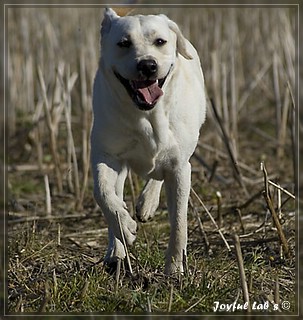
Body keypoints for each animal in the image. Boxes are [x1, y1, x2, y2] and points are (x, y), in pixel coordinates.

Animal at [91, 8, 207, 276]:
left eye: (160, 42)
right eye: (124, 43)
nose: (148, 65)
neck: (147, 114)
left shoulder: (180, 167)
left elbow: (179, 222)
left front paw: (174, 268)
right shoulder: (106, 155)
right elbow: (103, 193)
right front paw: (125, 227)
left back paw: (147, 204)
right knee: (117, 192)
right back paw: (116, 250)